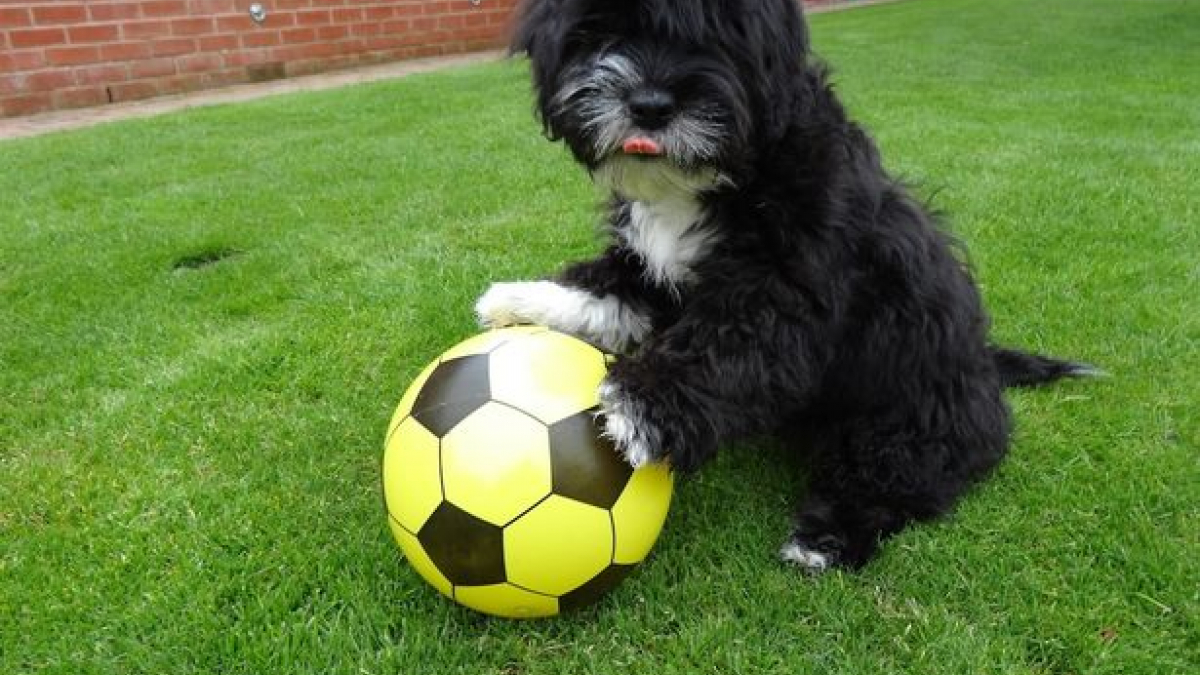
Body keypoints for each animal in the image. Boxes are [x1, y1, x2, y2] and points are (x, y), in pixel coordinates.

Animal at [472, 0, 1094, 569]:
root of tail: (984, 372)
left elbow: (728, 343)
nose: (649, 106)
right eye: (599, 33)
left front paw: (639, 404)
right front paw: (522, 299)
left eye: (714, 39)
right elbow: (609, 290)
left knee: (902, 473)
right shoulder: (654, 275)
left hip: (906, 411)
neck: (721, 177)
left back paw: (825, 538)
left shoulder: (788, 290)